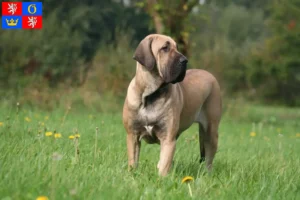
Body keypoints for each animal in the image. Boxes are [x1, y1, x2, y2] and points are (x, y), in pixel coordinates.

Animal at [122, 34, 223, 177]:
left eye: (177, 47)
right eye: (165, 48)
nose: (185, 60)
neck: (150, 95)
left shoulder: (168, 138)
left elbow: (164, 164)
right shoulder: (132, 135)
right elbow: (133, 161)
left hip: (211, 131)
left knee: (209, 159)